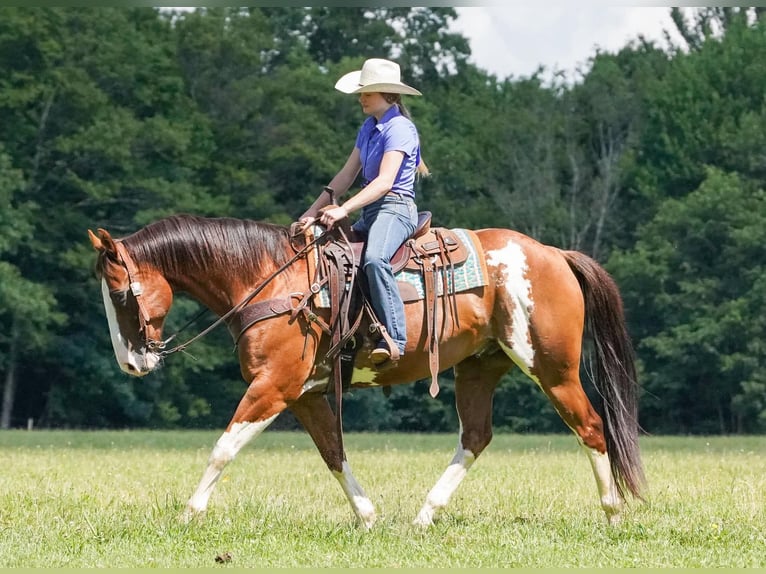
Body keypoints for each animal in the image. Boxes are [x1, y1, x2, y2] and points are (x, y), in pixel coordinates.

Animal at [88, 213, 645, 529]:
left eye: (120, 294)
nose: (131, 362)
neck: (273, 281)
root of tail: (554, 255)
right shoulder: (306, 394)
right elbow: (333, 453)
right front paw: (368, 516)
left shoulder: (274, 386)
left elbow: (224, 448)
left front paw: (189, 514)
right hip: (478, 368)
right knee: (476, 436)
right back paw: (423, 517)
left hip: (552, 368)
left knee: (592, 427)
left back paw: (614, 515)